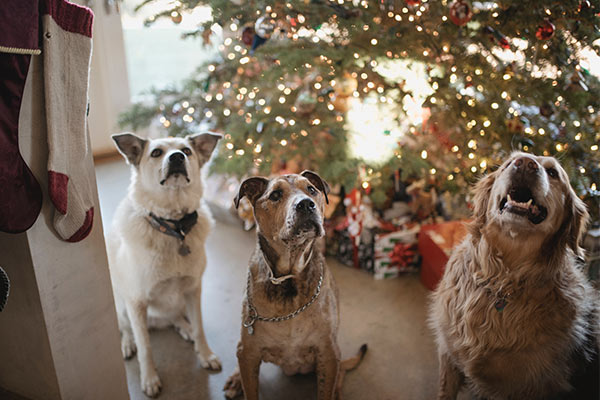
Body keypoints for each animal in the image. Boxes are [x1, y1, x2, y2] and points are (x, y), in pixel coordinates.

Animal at [106, 132, 221, 396]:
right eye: (156, 152)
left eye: (186, 151)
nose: (177, 157)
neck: (174, 227)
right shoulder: (136, 302)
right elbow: (145, 347)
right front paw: (149, 379)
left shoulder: (193, 290)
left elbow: (199, 327)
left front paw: (205, 354)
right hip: (121, 305)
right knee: (125, 328)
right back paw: (127, 343)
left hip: (179, 301)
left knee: (175, 317)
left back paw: (184, 327)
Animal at [225, 172, 366, 400]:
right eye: (275, 195)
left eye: (311, 189)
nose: (306, 205)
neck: (288, 280)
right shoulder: (249, 351)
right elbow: (250, 389)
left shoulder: (328, 353)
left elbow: (326, 389)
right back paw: (236, 379)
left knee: (342, 371)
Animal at [432, 152, 600, 398]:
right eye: (508, 164)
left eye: (553, 173)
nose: (525, 164)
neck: (502, 280)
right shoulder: (448, 355)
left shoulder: (527, 386)